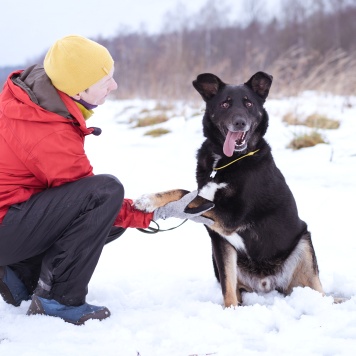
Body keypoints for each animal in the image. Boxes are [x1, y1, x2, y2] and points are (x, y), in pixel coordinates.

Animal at [135, 71, 326, 306]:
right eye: (225, 104)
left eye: (249, 103)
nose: (239, 122)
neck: (226, 161)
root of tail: (265, 283)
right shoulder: (220, 240)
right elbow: (228, 287)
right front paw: (149, 199)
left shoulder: (232, 217)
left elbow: (187, 197)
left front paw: (151, 202)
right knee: (235, 287)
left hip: (304, 245)